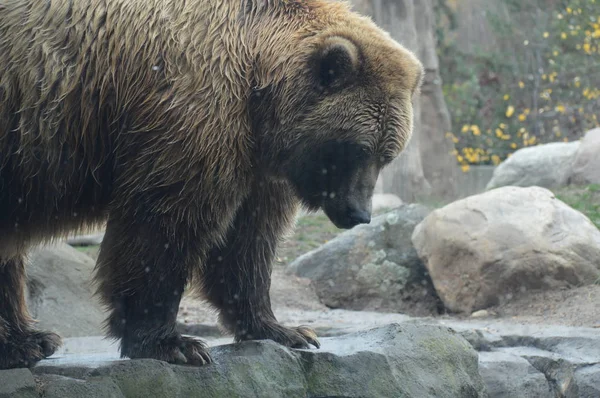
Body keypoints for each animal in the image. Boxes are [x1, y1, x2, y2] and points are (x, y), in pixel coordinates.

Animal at [0, 0, 424, 366]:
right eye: (356, 149)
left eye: (387, 154)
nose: (359, 214)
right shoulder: (192, 112)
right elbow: (164, 223)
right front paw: (172, 343)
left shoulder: (256, 161)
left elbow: (248, 240)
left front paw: (286, 330)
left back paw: (29, 339)